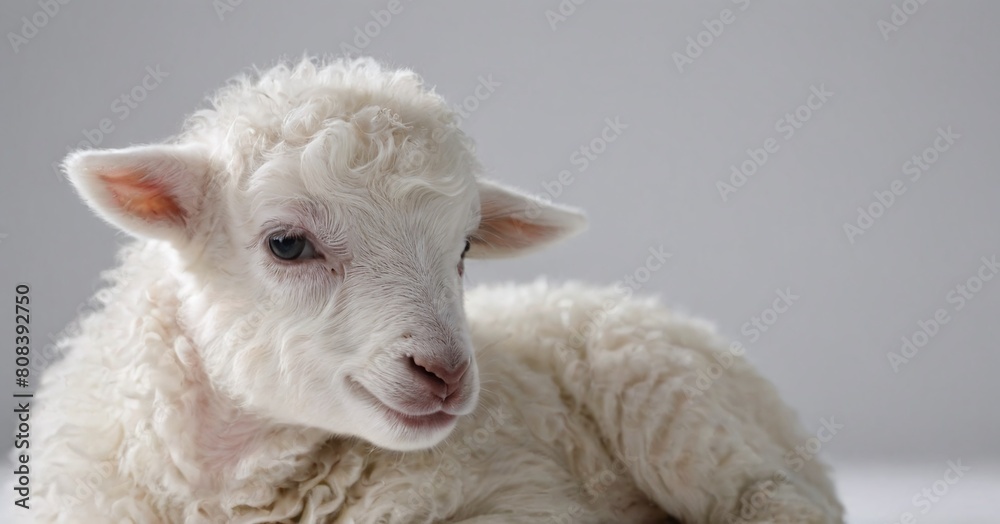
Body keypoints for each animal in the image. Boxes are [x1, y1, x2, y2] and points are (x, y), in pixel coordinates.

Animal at [9, 57, 844, 523]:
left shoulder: (527, 498)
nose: (445, 372)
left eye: (465, 249)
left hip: (671, 404)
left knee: (771, 499)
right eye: (286, 244)